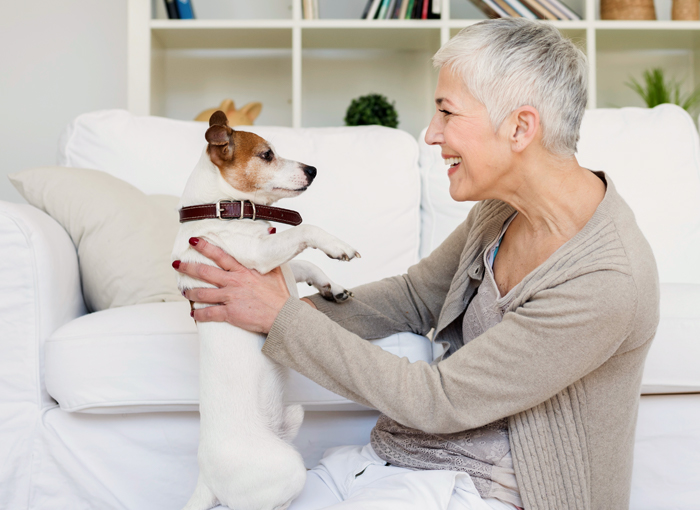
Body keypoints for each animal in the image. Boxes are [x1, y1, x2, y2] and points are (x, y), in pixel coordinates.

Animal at [173, 112, 360, 510]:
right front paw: (338, 245)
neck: (224, 212)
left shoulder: (281, 264)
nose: (313, 169)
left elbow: (304, 264)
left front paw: (332, 287)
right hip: (284, 470)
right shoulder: (260, 257)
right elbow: (306, 231)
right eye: (267, 154)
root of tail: (205, 477)